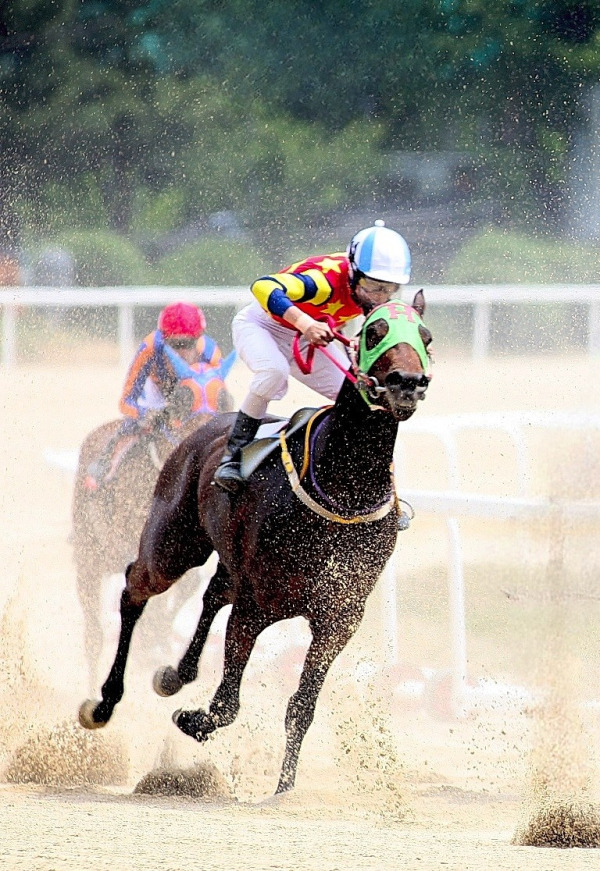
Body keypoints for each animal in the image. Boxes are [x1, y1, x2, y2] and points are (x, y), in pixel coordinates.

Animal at [79, 292, 434, 796]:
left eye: (426, 337)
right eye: (373, 332)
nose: (408, 383)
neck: (344, 488)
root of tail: (205, 428)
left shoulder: (339, 619)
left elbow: (301, 707)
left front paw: (284, 787)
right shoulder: (257, 605)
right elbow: (227, 703)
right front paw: (192, 720)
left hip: (227, 561)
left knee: (212, 594)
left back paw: (174, 675)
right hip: (172, 544)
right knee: (134, 589)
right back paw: (105, 702)